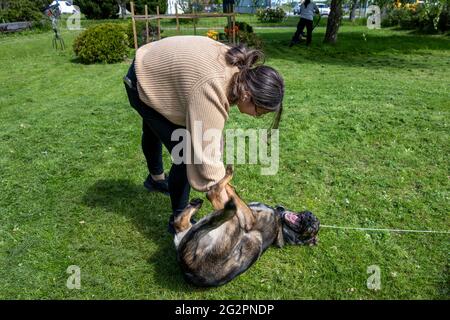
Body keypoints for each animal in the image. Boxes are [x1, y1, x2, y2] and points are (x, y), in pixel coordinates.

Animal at [172, 165, 320, 288]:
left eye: (312, 228)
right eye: (314, 220)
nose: (310, 217)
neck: (281, 223)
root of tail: (186, 270)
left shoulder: (248, 220)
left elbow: (223, 195)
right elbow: (231, 192)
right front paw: (230, 185)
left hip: (244, 232)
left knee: (214, 199)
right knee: (180, 222)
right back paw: (196, 204)